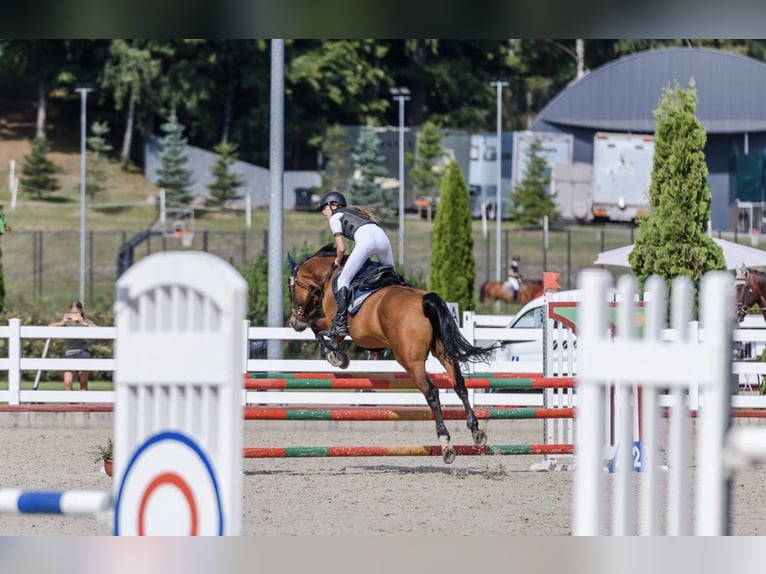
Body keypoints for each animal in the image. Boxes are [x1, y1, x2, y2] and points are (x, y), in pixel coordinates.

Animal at [288, 245, 498, 466]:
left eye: (292, 288)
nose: (295, 322)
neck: (329, 276)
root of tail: (425, 302)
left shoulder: (332, 322)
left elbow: (318, 328)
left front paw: (335, 356)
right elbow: (324, 332)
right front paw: (337, 355)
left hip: (410, 361)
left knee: (431, 392)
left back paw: (445, 442)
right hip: (443, 353)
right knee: (460, 385)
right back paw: (476, 430)